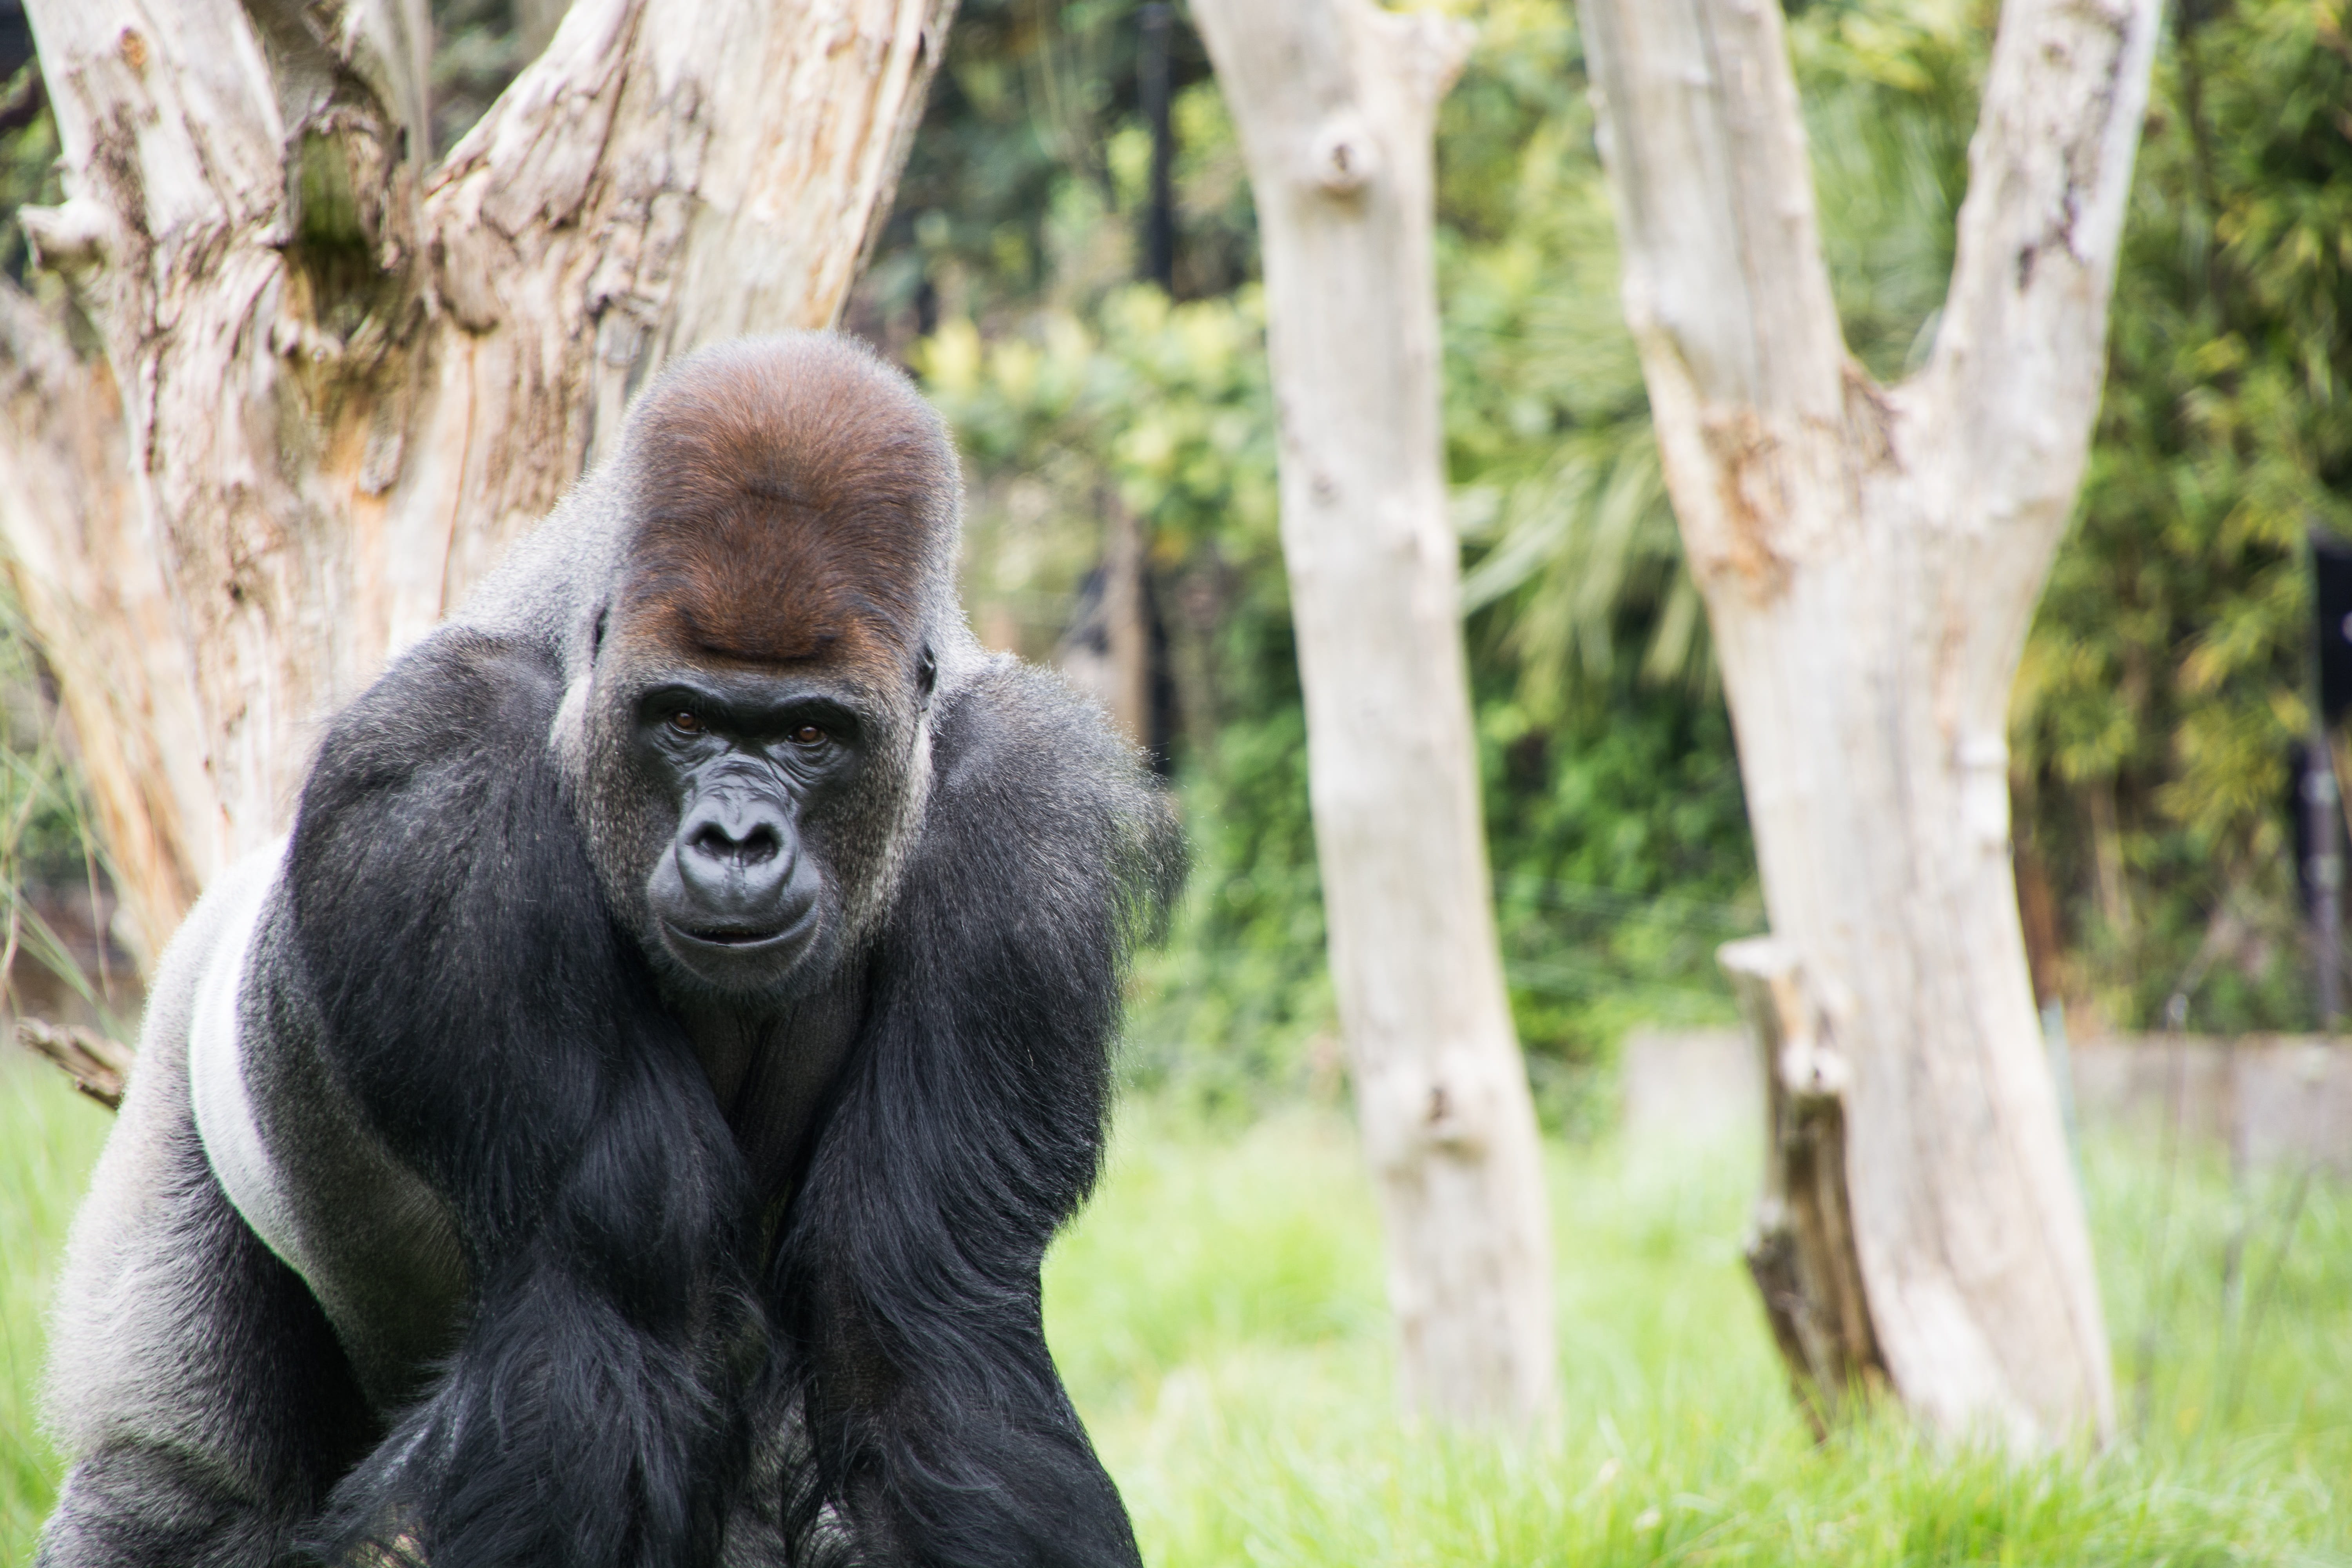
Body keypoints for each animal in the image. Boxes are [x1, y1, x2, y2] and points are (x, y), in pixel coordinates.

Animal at [35, 333, 1181, 1568]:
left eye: (811, 734)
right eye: (684, 720)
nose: (737, 841)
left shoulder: (1028, 829)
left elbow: (920, 1331)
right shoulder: (441, 774)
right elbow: (608, 1306)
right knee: (173, 1481)